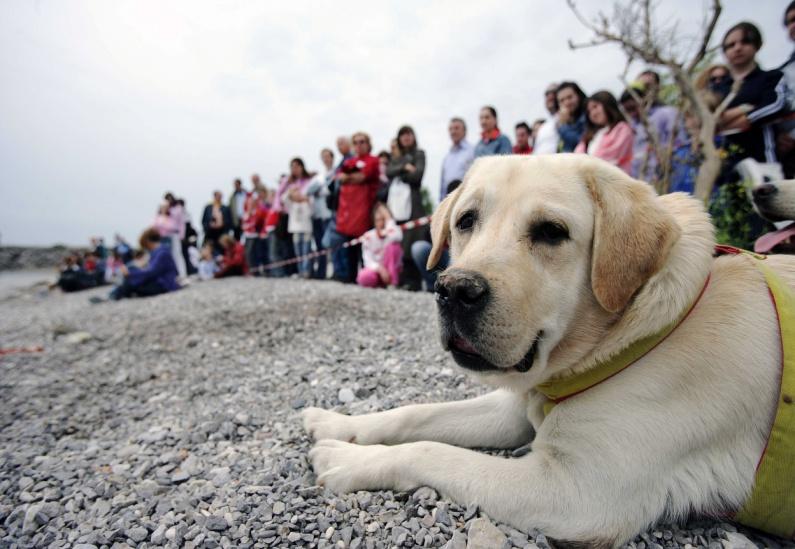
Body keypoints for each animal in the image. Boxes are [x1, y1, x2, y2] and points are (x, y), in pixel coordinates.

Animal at [304, 153, 795, 544]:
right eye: (466, 221)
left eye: (551, 231)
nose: (453, 290)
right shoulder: (518, 408)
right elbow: (416, 414)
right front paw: (339, 424)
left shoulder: (578, 494)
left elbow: (428, 450)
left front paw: (344, 457)